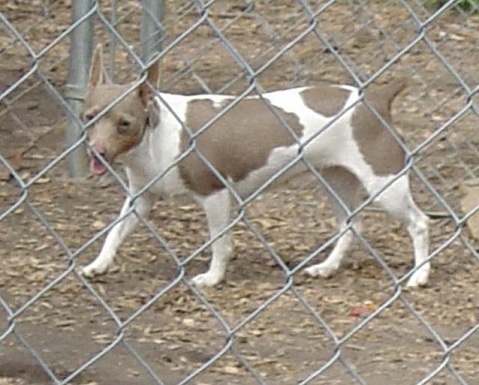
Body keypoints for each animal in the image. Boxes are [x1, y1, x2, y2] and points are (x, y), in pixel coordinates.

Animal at [79, 43, 432, 286]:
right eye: (89, 117)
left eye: (125, 123)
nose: (96, 152)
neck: (156, 136)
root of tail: (375, 99)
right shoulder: (140, 199)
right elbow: (114, 232)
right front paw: (99, 264)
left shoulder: (215, 195)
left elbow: (220, 242)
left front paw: (213, 278)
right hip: (336, 181)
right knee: (352, 224)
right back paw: (327, 267)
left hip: (385, 185)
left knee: (419, 223)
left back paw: (419, 275)